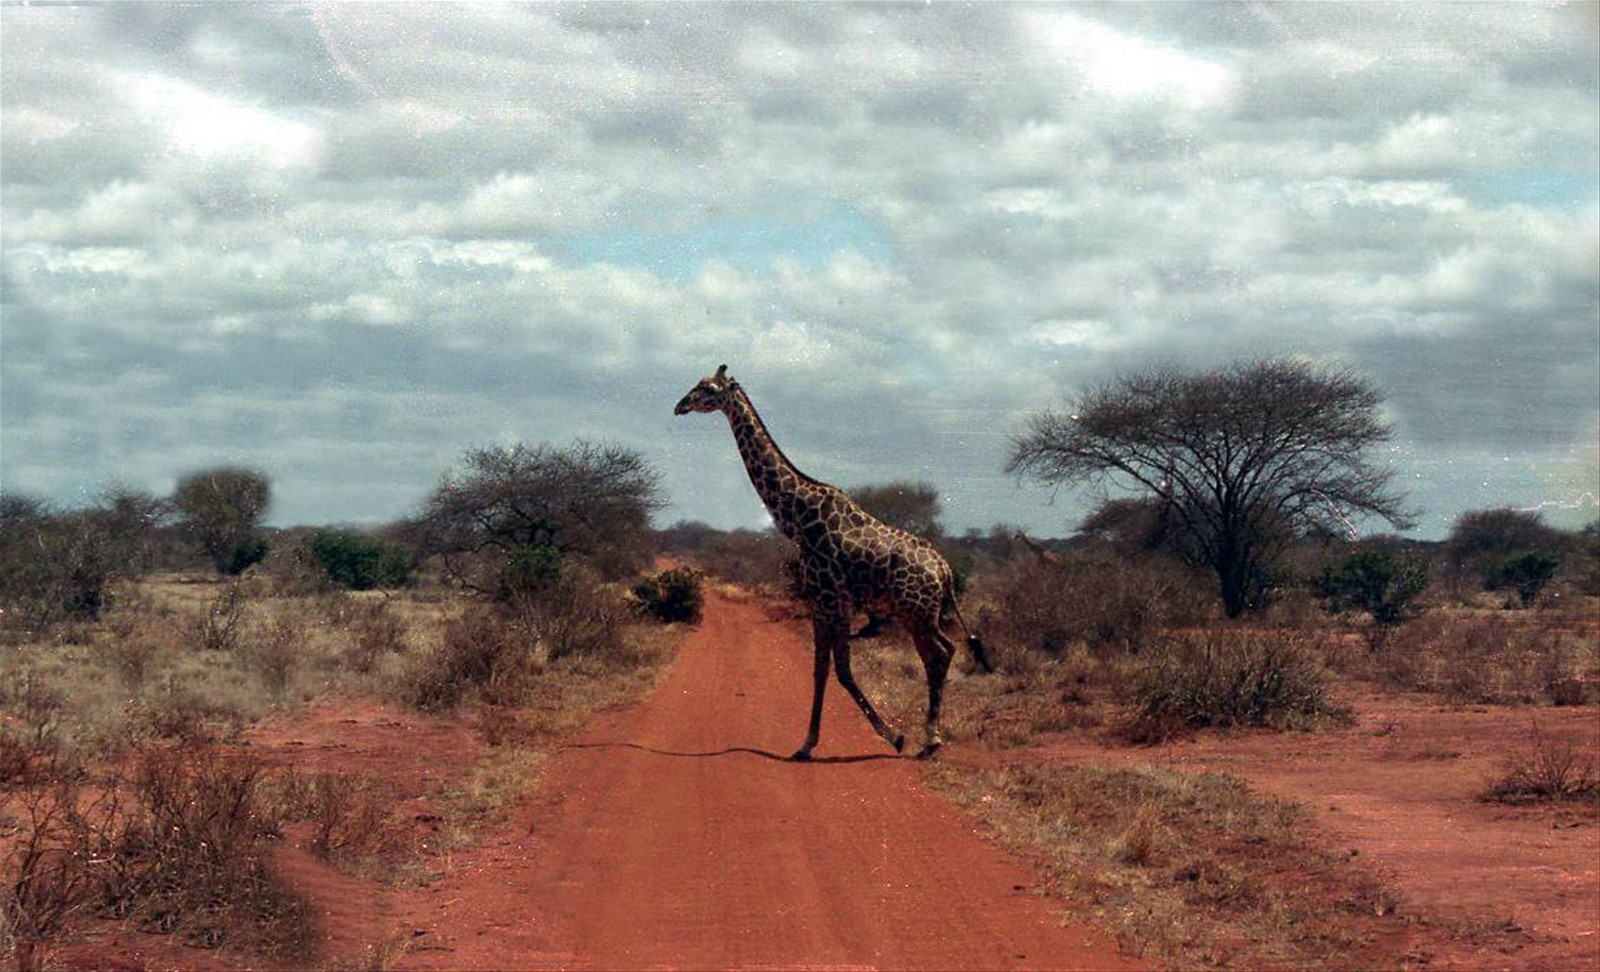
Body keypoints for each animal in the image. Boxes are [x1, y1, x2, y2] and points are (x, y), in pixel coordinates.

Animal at [674, 365, 994, 760]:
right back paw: (931, 736)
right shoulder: (819, 602)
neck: (796, 519)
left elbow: (841, 670)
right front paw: (807, 743)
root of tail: (945, 571)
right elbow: (822, 670)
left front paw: (893, 735)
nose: (679, 405)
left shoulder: (829, 599)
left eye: (708, 388)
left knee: (936, 656)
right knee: (947, 650)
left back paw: (931, 739)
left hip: (915, 613)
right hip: (922, 614)